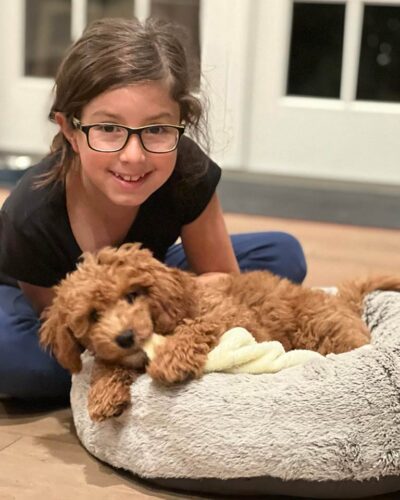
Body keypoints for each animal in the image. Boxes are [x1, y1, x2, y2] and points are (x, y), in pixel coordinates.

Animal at [39, 241, 400, 418]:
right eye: (93, 315)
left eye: (132, 295)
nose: (125, 337)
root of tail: (343, 302)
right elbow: (108, 363)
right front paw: (103, 393)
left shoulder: (233, 318)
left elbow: (197, 327)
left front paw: (169, 359)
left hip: (328, 333)